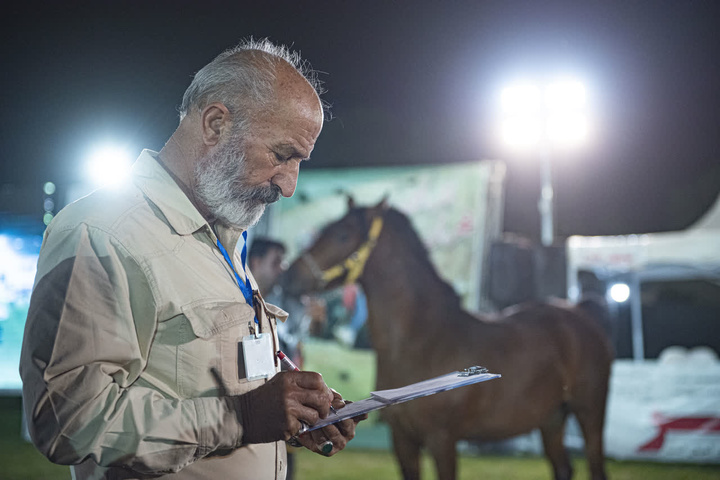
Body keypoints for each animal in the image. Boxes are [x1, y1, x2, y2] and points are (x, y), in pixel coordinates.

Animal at [284, 198, 612, 480]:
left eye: (342, 234)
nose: (290, 276)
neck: (418, 341)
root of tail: (581, 313)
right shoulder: (402, 440)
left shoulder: (442, 440)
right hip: (552, 419)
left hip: (590, 413)